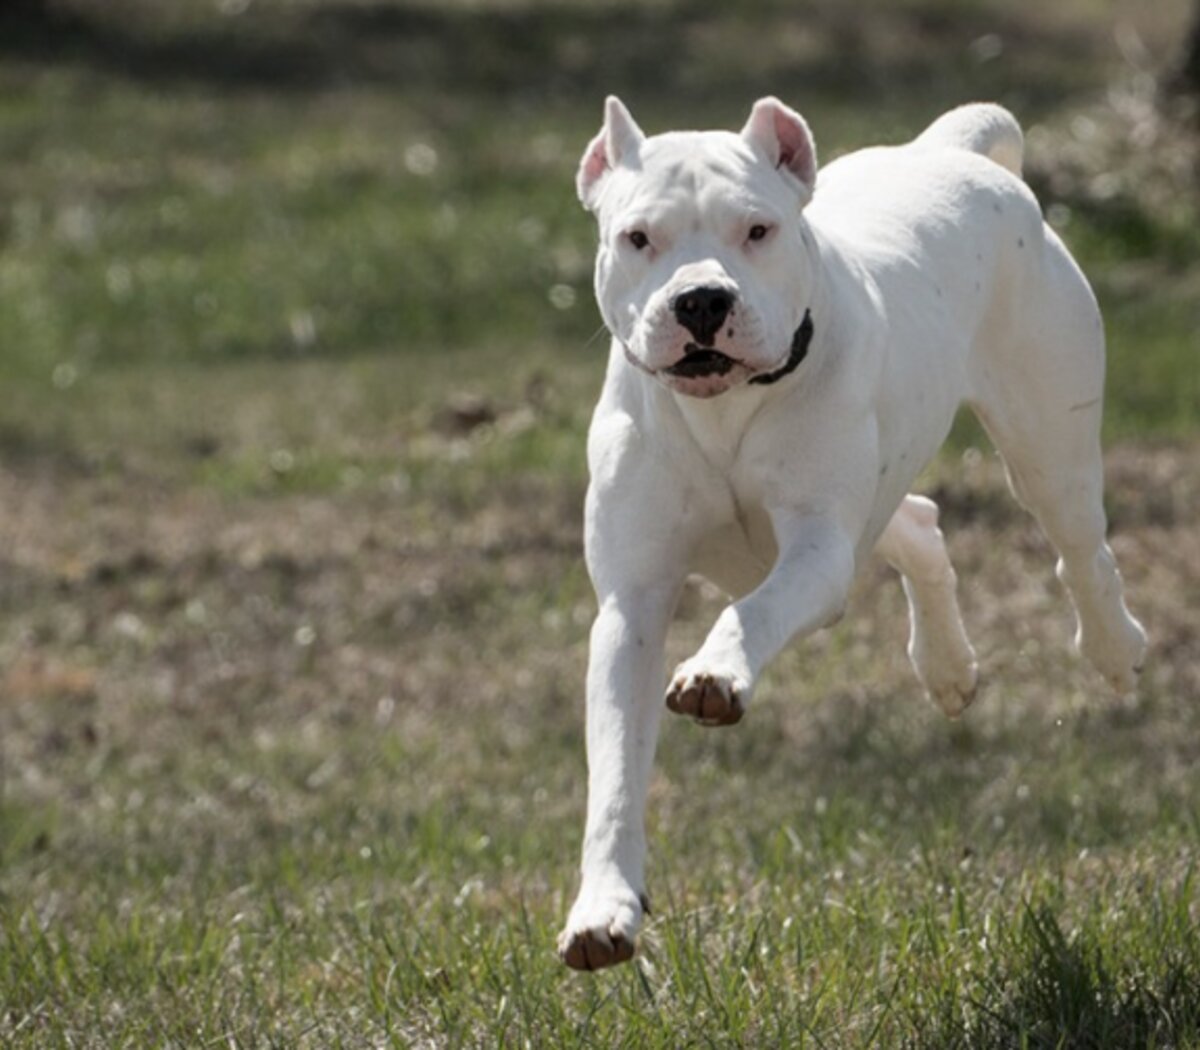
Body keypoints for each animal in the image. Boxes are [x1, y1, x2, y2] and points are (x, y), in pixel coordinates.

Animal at [556, 96, 1147, 969]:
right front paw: (603, 910)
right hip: (884, 491)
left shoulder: (816, 551)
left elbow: (753, 611)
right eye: (638, 238)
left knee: (1081, 549)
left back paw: (1112, 649)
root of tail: (951, 151)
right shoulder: (632, 603)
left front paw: (715, 673)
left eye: (758, 230)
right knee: (920, 524)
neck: (725, 410)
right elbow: (617, 776)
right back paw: (947, 666)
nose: (701, 301)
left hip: (1047, 441)